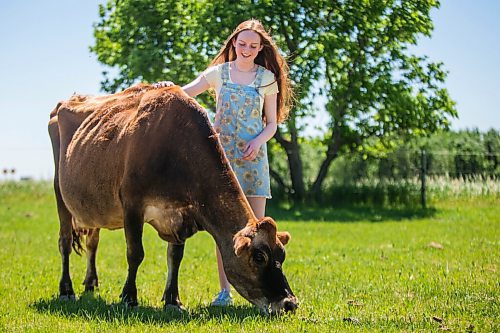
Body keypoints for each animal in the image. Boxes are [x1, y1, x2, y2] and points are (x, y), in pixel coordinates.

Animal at [47, 83, 296, 314]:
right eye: (259, 257)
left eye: (282, 255)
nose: (289, 303)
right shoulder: (132, 204)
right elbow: (135, 253)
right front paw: (129, 297)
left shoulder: (181, 213)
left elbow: (175, 257)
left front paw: (172, 300)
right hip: (60, 192)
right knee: (64, 242)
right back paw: (66, 290)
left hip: (92, 204)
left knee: (92, 241)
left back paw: (90, 283)